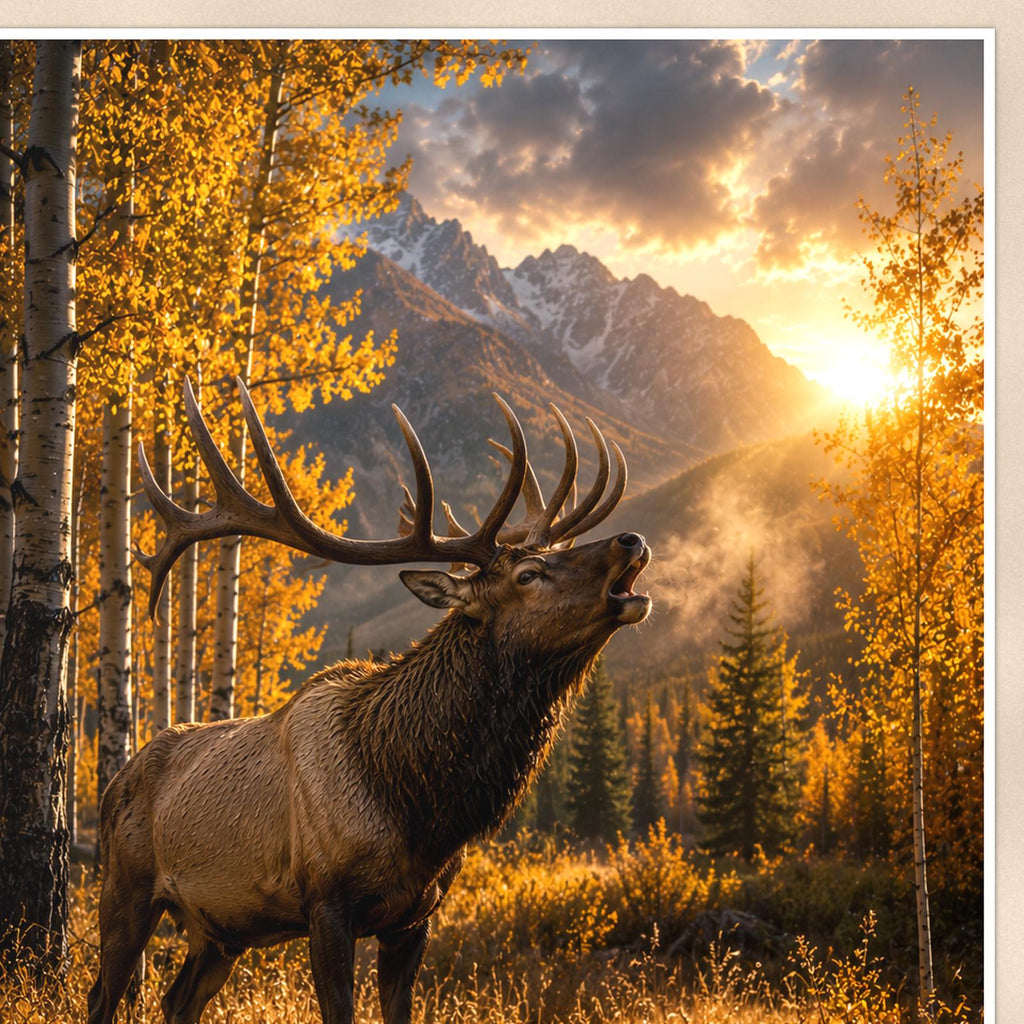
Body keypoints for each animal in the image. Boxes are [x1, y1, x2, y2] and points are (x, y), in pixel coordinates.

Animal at [87, 378, 652, 1024]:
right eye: (529, 574)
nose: (631, 539)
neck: (423, 808)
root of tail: (114, 780)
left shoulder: (415, 917)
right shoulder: (326, 903)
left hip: (221, 928)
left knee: (176, 999)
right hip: (125, 889)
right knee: (102, 995)